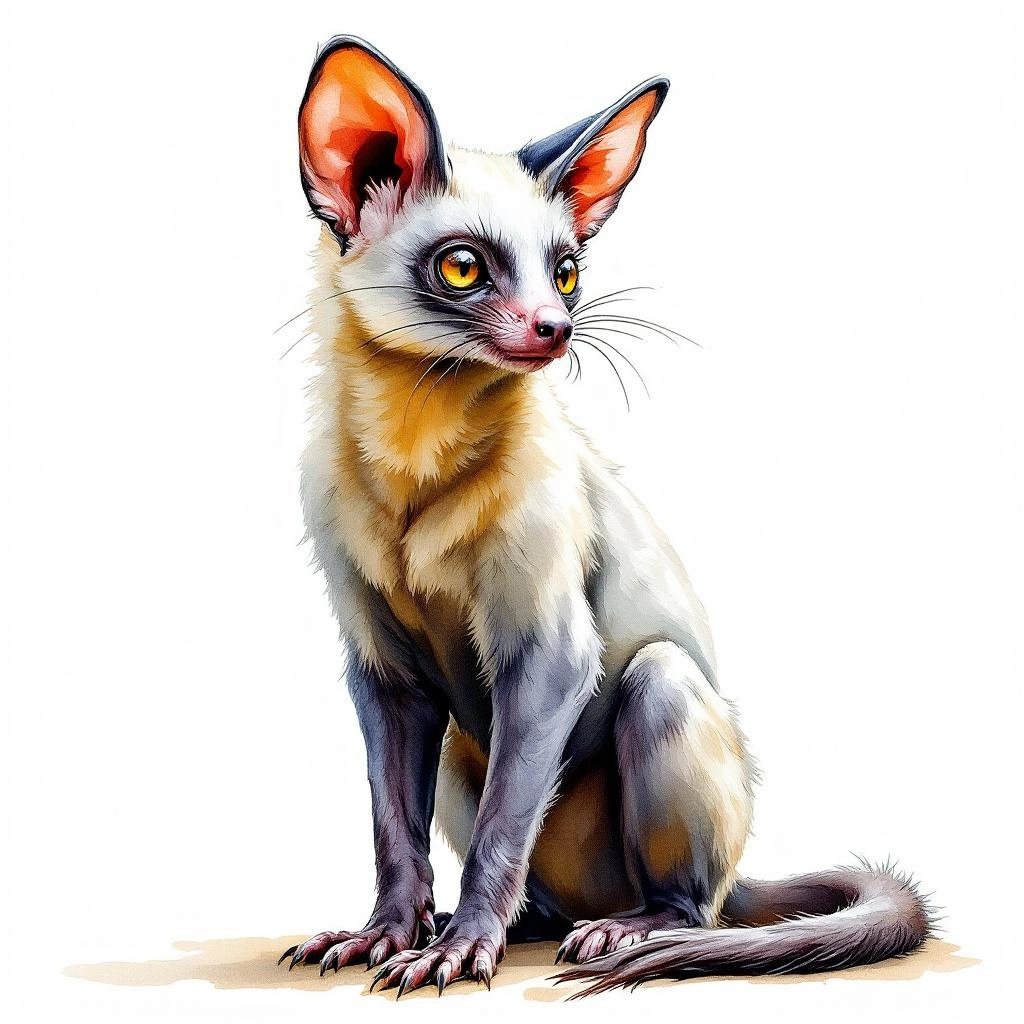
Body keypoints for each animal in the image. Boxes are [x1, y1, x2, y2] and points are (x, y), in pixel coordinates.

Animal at [279, 36, 931, 997]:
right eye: (463, 267)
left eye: (566, 271)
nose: (555, 328)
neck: (415, 464)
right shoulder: (385, 675)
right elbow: (393, 830)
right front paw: (387, 935)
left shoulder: (550, 657)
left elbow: (501, 832)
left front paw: (456, 952)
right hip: (460, 751)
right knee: (537, 885)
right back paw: (511, 925)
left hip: (659, 690)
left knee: (687, 899)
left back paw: (619, 929)